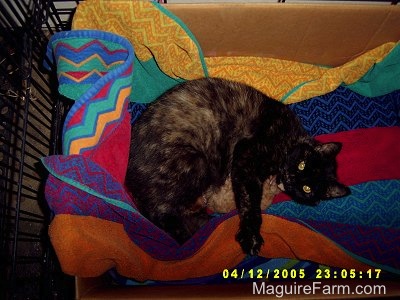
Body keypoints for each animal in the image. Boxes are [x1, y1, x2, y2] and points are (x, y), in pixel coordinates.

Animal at [126, 77, 350, 255]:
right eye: (302, 164)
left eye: (307, 188)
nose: (292, 177)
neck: (290, 139)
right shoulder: (246, 155)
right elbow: (251, 203)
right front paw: (251, 237)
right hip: (196, 164)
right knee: (162, 213)